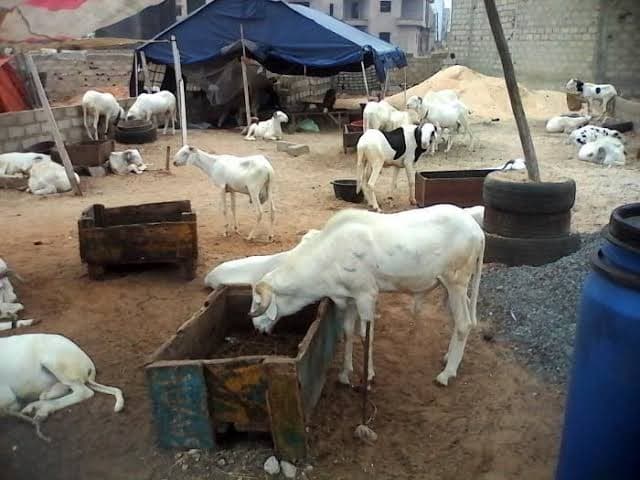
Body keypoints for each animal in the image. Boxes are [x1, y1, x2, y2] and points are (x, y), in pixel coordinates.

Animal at [248, 205, 485, 387]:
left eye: (258, 302)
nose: (257, 328)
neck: (328, 257)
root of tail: (478, 232)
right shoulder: (351, 298)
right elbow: (348, 332)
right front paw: (345, 374)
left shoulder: (366, 296)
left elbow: (365, 335)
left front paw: (368, 376)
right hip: (449, 287)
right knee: (458, 321)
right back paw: (448, 358)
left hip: (456, 283)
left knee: (463, 324)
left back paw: (446, 374)